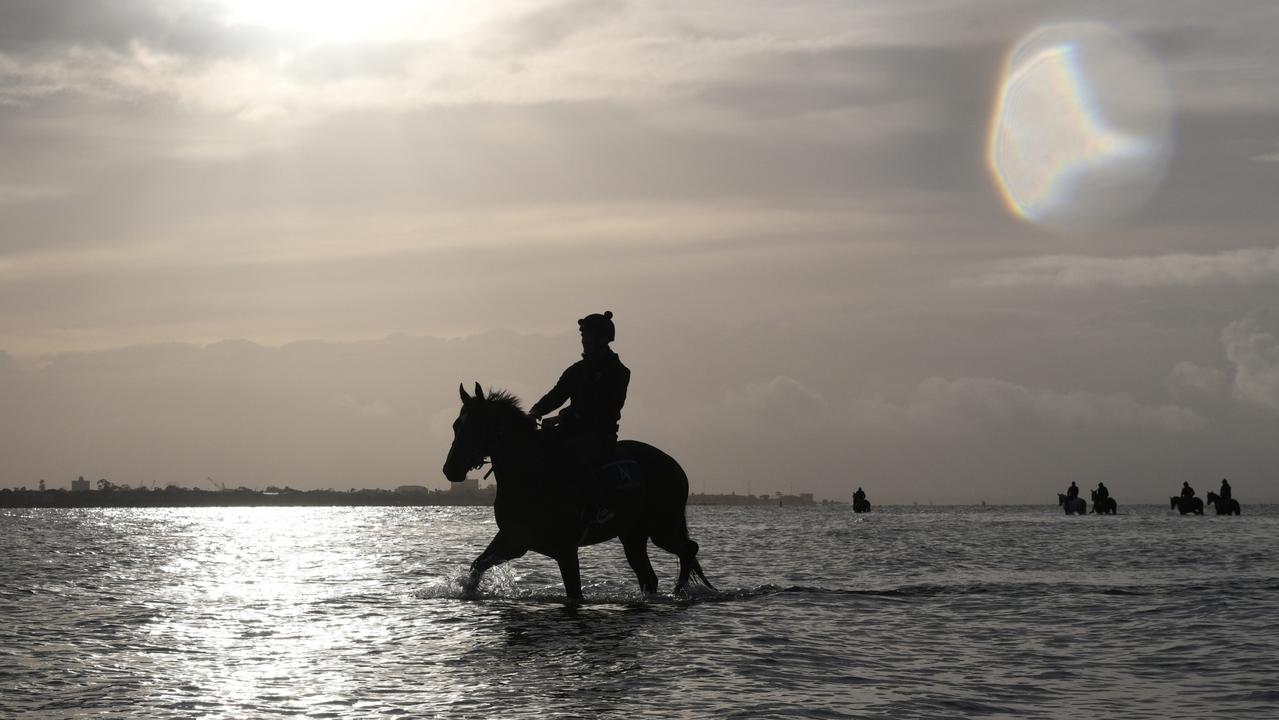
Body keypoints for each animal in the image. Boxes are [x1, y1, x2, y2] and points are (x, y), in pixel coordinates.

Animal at [445, 386, 716, 601]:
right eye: (457, 425)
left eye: (477, 426)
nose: (450, 469)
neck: (531, 474)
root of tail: (675, 466)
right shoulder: (514, 539)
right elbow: (478, 565)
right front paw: (467, 591)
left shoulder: (565, 550)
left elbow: (574, 592)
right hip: (633, 536)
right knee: (651, 576)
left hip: (662, 529)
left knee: (689, 550)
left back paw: (680, 591)